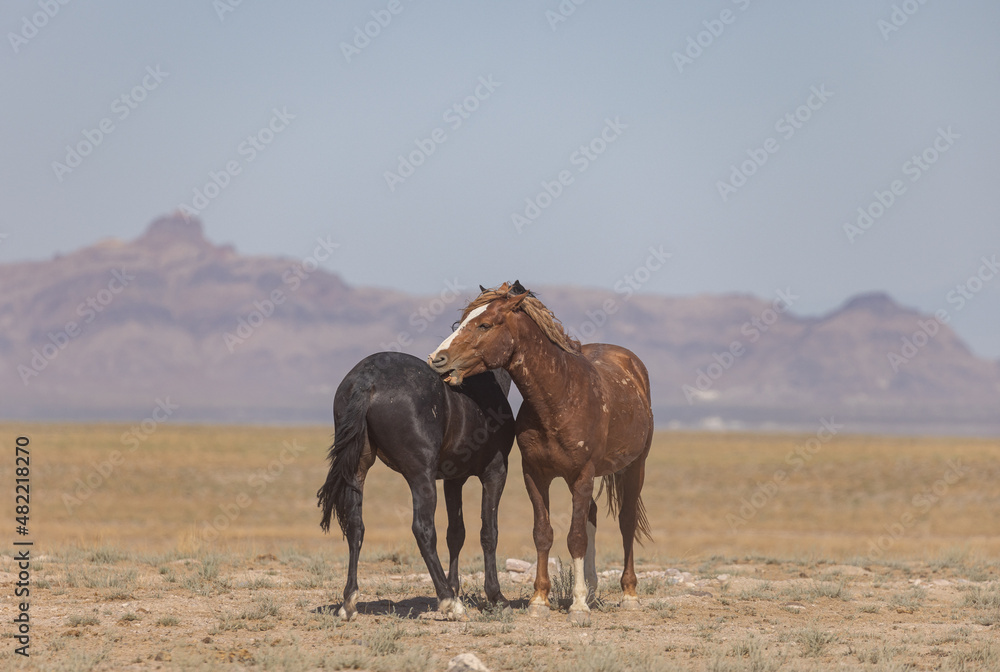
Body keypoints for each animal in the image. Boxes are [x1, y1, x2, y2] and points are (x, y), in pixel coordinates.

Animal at [317, 351, 515, 620]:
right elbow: (489, 532)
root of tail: (367, 379)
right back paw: (449, 602)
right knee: (423, 529)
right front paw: (495, 597)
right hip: (421, 476)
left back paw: (349, 601)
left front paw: (456, 587)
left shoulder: (454, 479)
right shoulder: (495, 473)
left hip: (357, 470)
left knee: (356, 526)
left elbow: (456, 533)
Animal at [428, 282, 654, 624]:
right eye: (461, 321)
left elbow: (575, 537)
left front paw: (578, 606)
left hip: (634, 467)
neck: (560, 397)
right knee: (592, 516)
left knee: (625, 521)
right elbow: (543, 533)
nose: (437, 358)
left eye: (484, 324)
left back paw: (628, 594)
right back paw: (592, 589)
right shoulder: (535, 475)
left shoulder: (582, 475)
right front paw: (540, 600)